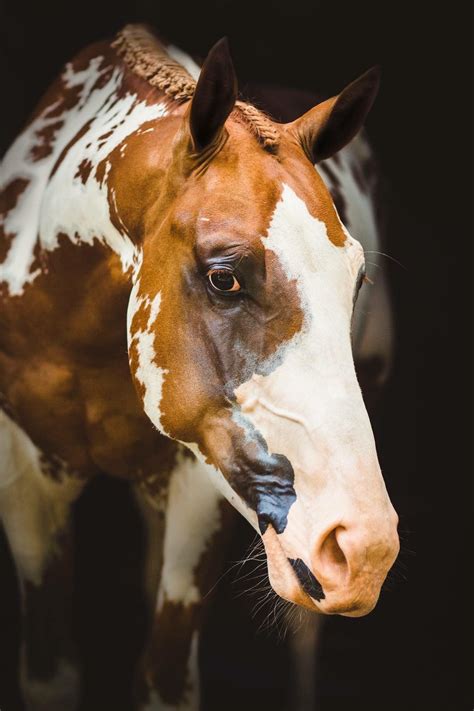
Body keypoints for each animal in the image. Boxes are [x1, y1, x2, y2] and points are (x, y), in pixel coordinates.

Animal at [0, 22, 400, 711]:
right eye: (223, 276)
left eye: (356, 281)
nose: (366, 546)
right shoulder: (25, 483)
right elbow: (52, 674)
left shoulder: (199, 494)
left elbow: (165, 680)